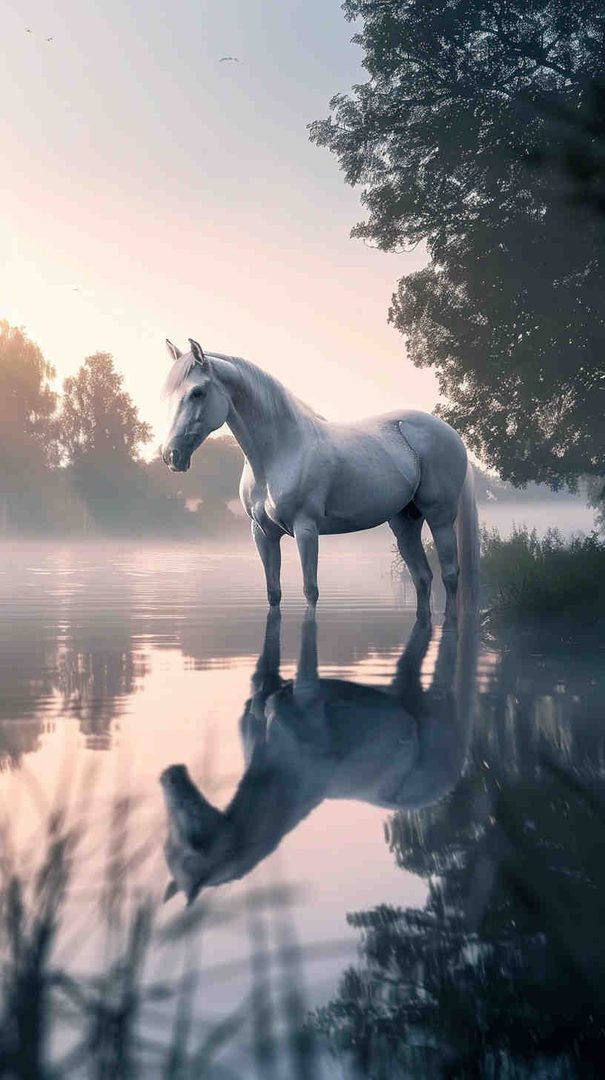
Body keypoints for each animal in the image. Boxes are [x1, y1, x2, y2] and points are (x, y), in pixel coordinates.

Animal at [161, 338, 479, 619]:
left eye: (198, 392)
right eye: (168, 395)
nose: (171, 455)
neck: (281, 451)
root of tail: (449, 432)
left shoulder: (306, 529)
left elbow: (310, 591)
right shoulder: (262, 533)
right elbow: (273, 593)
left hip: (439, 517)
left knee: (450, 575)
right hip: (405, 521)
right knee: (422, 577)